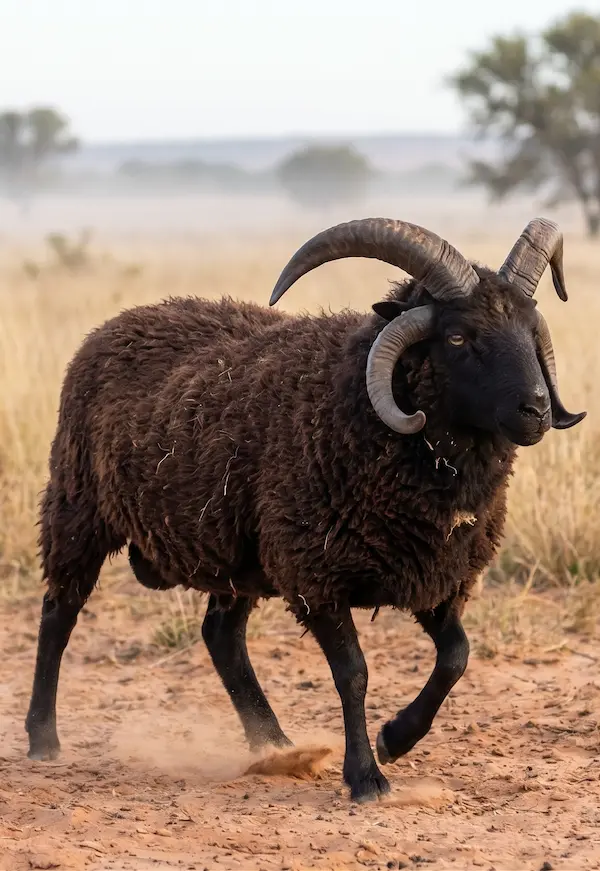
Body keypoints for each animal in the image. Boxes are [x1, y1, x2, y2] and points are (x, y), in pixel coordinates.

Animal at [25, 217, 585, 804]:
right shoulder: (317, 576)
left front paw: (395, 739)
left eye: (530, 328)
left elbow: (456, 657)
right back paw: (44, 739)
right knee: (58, 614)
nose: (536, 410)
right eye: (458, 336)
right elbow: (354, 674)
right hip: (77, 509)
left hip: (237, 556)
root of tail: (116, 323)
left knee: (221, 638)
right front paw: (366, 777)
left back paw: (275, 746)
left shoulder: (437, 576)